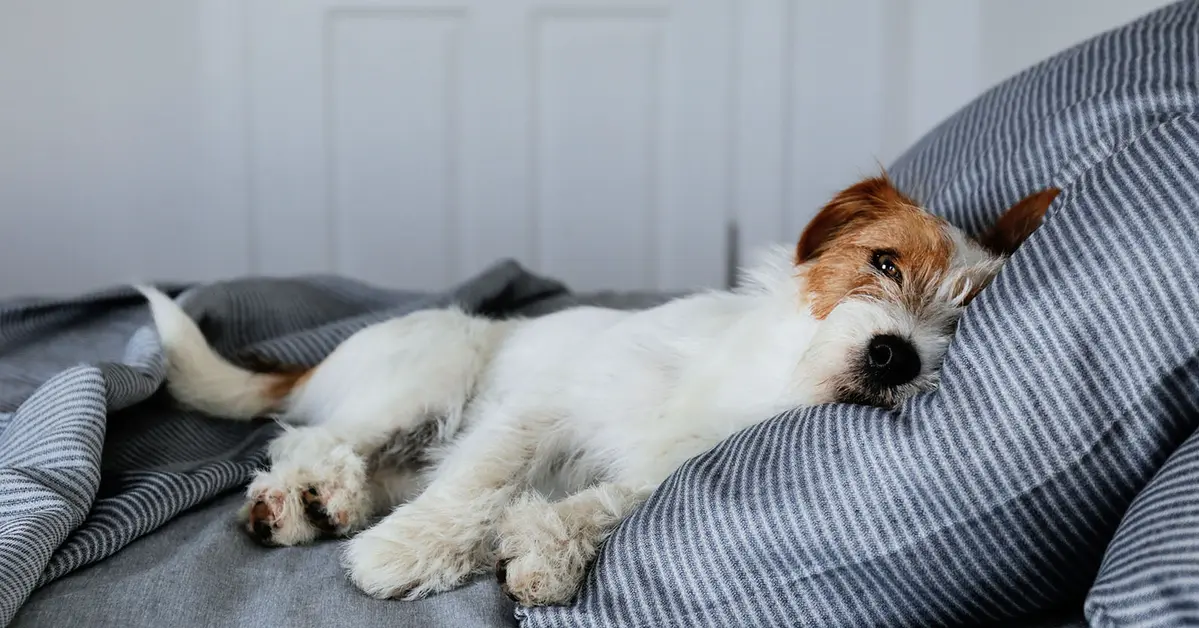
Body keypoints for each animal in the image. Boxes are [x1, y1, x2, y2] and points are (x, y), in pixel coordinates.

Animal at [137, 173, 1059, 606]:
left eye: (964, 316)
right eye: (883, 263)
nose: (894, 356)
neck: (757, 387)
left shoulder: (664, 472)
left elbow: (609, 502)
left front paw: (542, 553)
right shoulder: (546, 410)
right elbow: (480, 484)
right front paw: (412, 552)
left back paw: (327, 503)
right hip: (434, 365)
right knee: (314, 438)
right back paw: (305, 496)